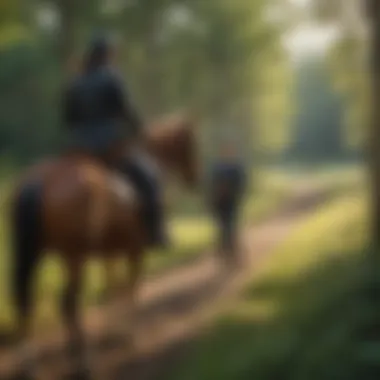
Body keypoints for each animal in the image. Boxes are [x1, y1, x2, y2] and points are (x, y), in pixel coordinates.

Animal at [8, 112, 199, 378]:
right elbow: (131, 287)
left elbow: (112, 287)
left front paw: (113, 333)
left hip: (35, 254)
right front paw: (129, 334)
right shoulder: (134, 250)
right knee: (68, 303)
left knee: (26, 299)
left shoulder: (110, 252)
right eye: (190, 143)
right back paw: (83, 362)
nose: (195, 178)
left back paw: (31, 366)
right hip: (74, 257)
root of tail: (38, 181)